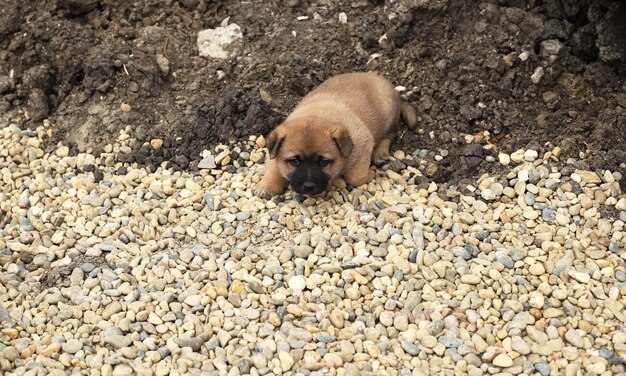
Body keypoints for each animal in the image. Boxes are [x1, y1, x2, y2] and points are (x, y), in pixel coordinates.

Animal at [251, 71, 416, 198]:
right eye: (294, 161)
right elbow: (274, 168)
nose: (308, 187)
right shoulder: (273, 152)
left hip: (389, 114)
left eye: (323, 162)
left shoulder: (363, 144)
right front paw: (267, 186)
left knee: (390, 135)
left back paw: (380, 153)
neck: (317, 114)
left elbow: (355, 177)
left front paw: (369, 174)